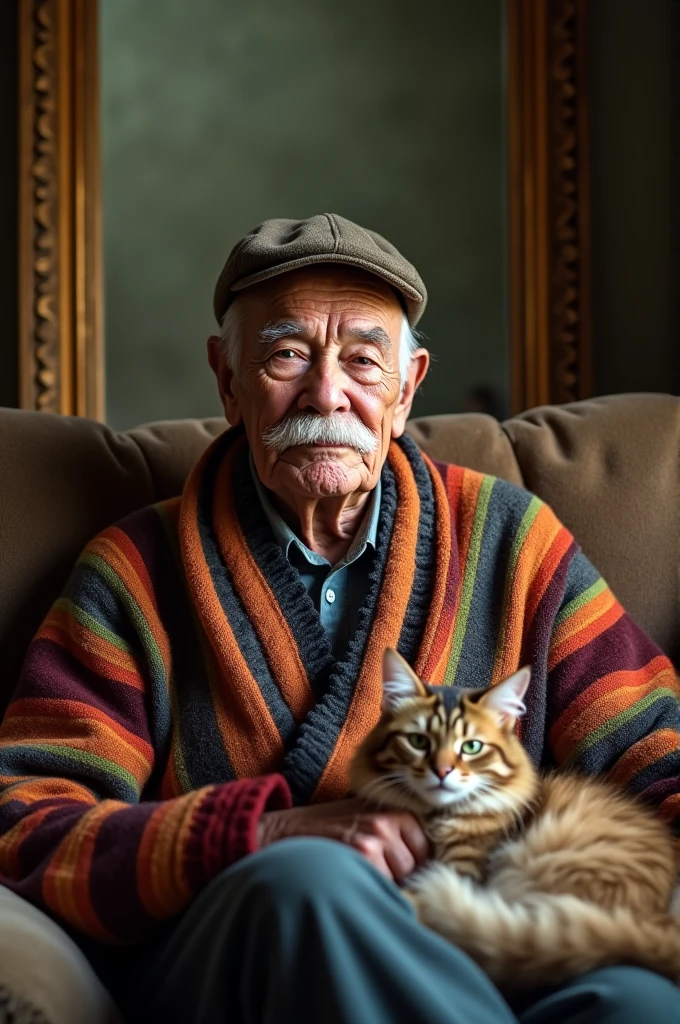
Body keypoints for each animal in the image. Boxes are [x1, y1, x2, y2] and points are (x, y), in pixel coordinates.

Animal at [350, 647, 680, 991]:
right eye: (418, 742)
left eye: (471, 747)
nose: (442, 771)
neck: (437, 815)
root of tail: (661, 924)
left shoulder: (465, 867)